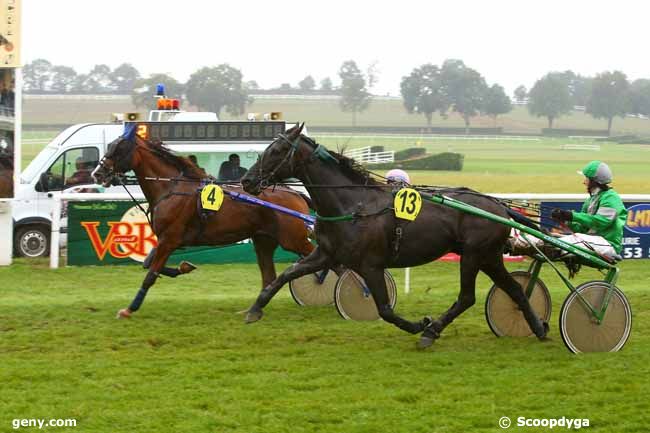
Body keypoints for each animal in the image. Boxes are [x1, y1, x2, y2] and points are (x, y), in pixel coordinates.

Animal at [92, 125, 314, 318]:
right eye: (110, 145)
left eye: (119, 149)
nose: (97, 173)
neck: (171, 189)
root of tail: (296, 194)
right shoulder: (166, 239)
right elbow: (148, 265)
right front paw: (184, 267)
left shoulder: (169, 240)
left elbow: (150, 275)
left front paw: (129, 309)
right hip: (264, 240)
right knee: (270, 276)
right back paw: (254, 309)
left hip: (293, 239)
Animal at [242, 124, 548, 348]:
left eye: (278, 149)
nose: (247, 181)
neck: (352, 205)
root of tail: (499, 206)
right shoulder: (325, 254)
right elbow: (285, 275)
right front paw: (254, 310)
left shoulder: (371, 265)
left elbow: (385, 309)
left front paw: (418, 325)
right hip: (488, 256)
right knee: (515, 289)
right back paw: (538, 327)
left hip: (474, 254)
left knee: (467, 297)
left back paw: (431, 332)